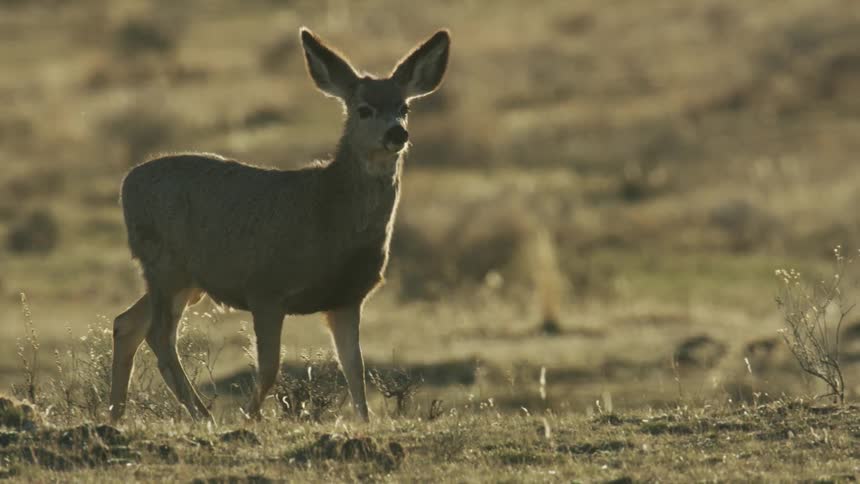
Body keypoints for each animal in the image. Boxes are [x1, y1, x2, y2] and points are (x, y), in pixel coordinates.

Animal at [109, 27, 450, 423]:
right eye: (364, 109)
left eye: (404, 107)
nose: (397, 134)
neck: (329, 215)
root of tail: (127, 183)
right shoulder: (265, 288)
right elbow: (271, 368)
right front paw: (249, 417)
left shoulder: (348, 297)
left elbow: (355, 370)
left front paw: (365, 422)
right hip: (165, 264)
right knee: (159, 334)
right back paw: (203, 415)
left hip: (184, 279)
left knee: (126, 323)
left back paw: (116, 415)